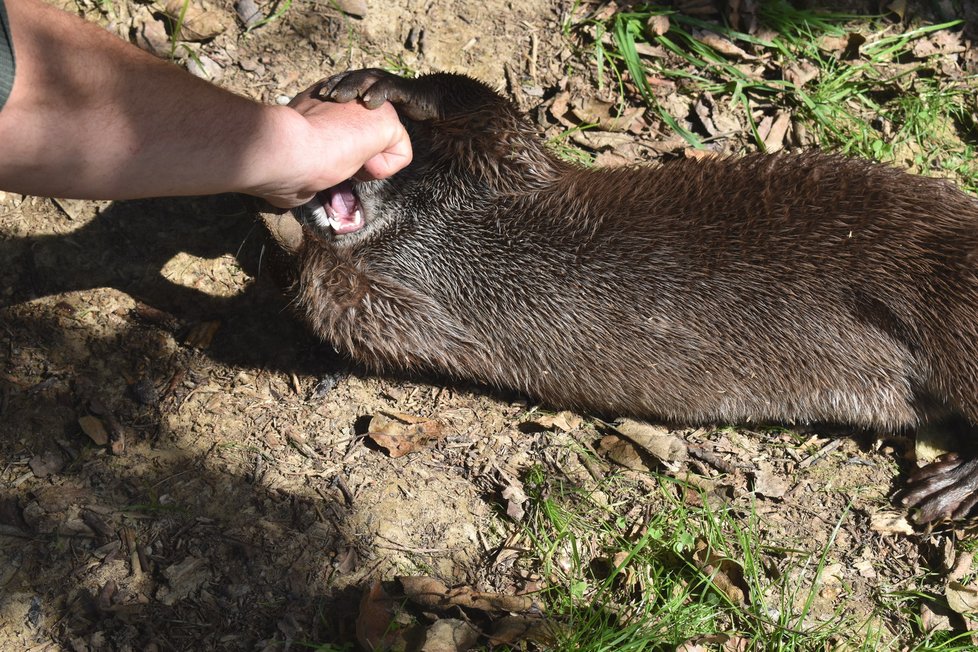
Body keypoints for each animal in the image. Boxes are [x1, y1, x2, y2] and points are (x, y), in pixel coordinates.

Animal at [264, 67, 976, 524]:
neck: (432, 225)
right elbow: (336, 302)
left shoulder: (506, 169)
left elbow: (486, 111)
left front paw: (378, 84)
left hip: (952, 289)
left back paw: (951, 486)